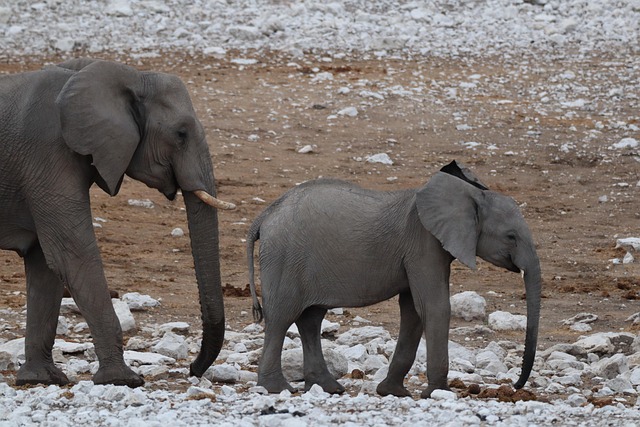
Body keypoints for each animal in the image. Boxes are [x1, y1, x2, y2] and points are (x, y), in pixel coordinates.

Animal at [0, 58, 235, 387]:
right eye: (180, 134)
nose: (192, 368)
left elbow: (45, 263)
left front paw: (41, 379)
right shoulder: (46, 154)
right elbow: (71, 253)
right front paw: (123, 379)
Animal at [246, 160, 541, 398]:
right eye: (511, 237)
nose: (515, 385)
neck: (467, 195)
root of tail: (264, 216)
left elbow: (413, 312)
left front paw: (393, 392)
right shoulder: (423, 244)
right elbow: (434, 307)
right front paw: (438, 393)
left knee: (310, 319)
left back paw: (328, 388)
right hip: (284, 258)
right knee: (281, 318)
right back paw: (277, 389)